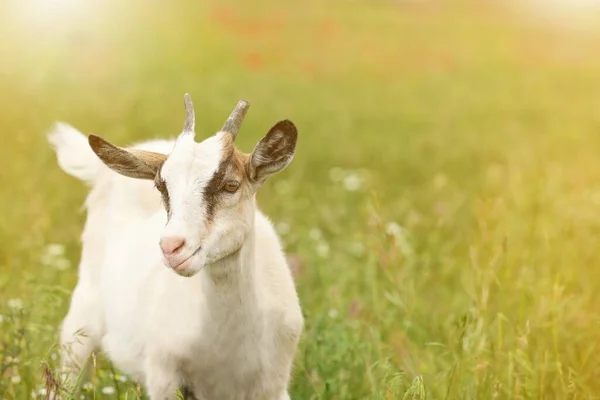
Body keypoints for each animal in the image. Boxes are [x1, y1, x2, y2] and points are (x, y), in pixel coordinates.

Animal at [48, 94, 304, 400]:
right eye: (162, 187)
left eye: (231, 186)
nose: (171, 247)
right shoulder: (164, 376)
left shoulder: (273, 384)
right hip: (80, 330)